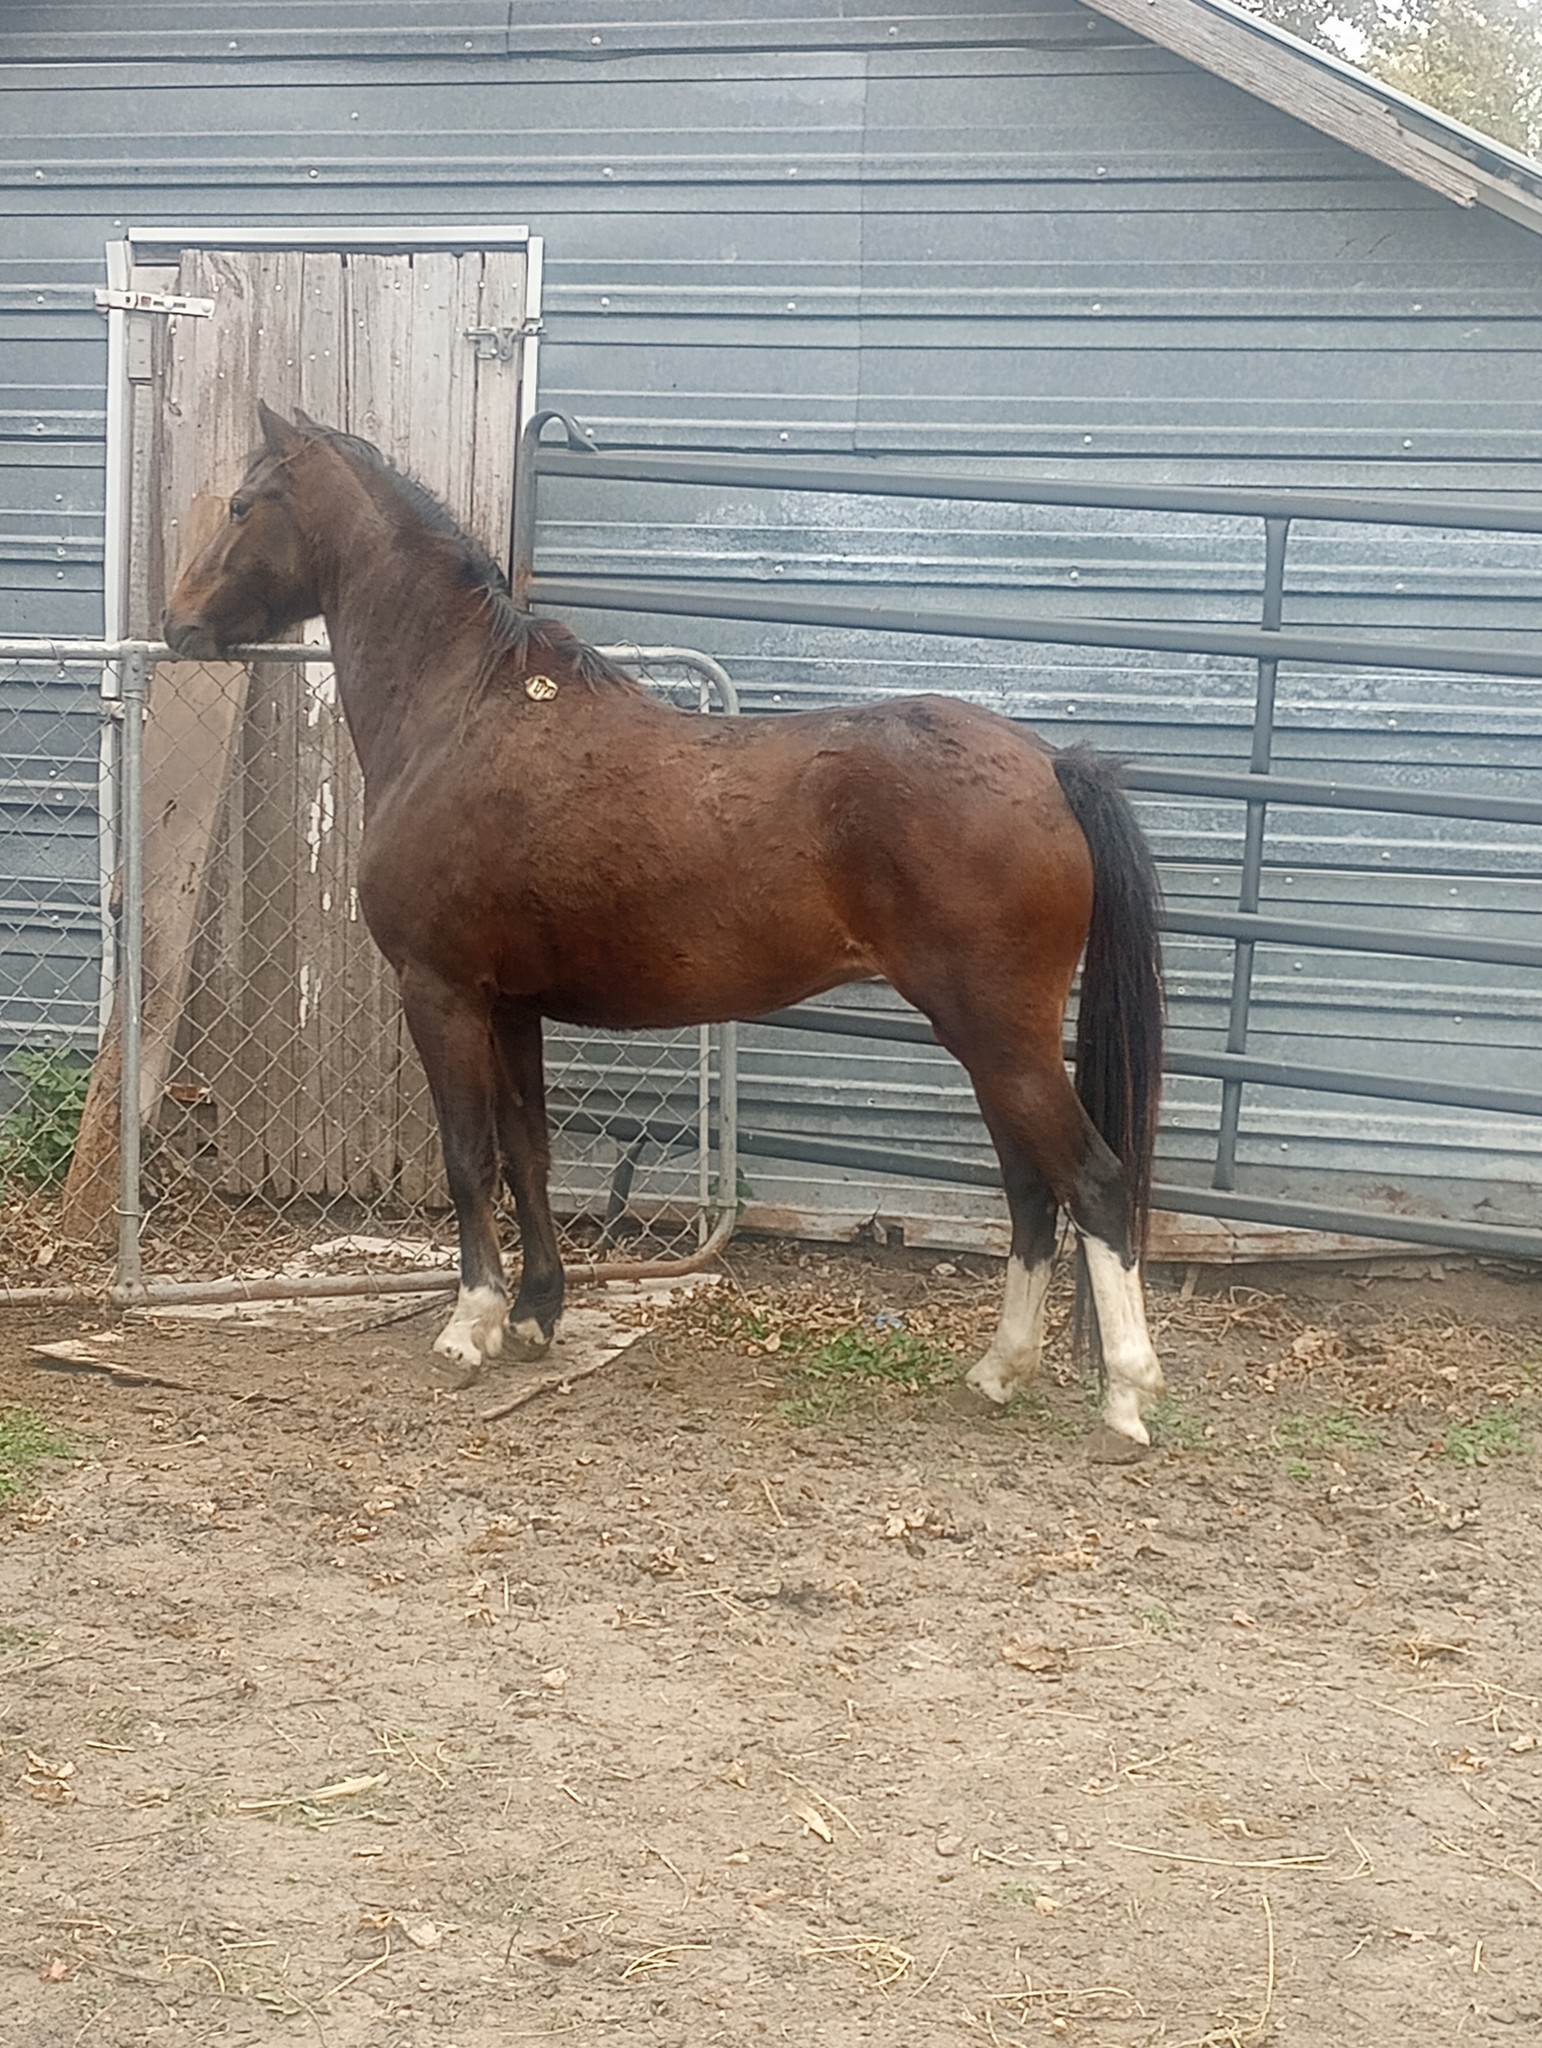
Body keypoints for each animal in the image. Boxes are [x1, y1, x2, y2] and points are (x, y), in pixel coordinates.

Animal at [164, 404, 1167, 1449]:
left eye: (241, 505)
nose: (175, 622)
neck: (461, 713)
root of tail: (1051, 764)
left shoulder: (441, 992)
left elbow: (469, 1156)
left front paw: (472, 1325)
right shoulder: (512, 1005)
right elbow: (530, 1152)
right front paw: (537, 1314)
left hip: (998, 1033)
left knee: (1092, 1181)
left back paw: (1125, 1397)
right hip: (991, 1042)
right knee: (1032, 1188)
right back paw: (1000, 1371)